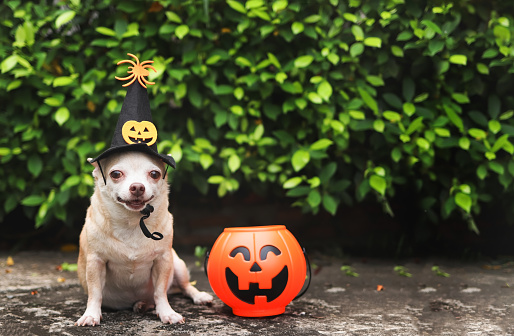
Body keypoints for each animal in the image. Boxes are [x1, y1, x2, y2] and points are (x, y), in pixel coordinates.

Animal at [75, 152, 212, 326]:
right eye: (116, 174)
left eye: (154, 174)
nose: (138, 187)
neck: (133, 223)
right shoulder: (95, 262)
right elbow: (95, 292)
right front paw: (91, 314)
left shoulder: (163, 260)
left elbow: (160, 291)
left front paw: (167, 313)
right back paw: (142, 305)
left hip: (178, 265)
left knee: (186, 287)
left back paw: (198, 296)